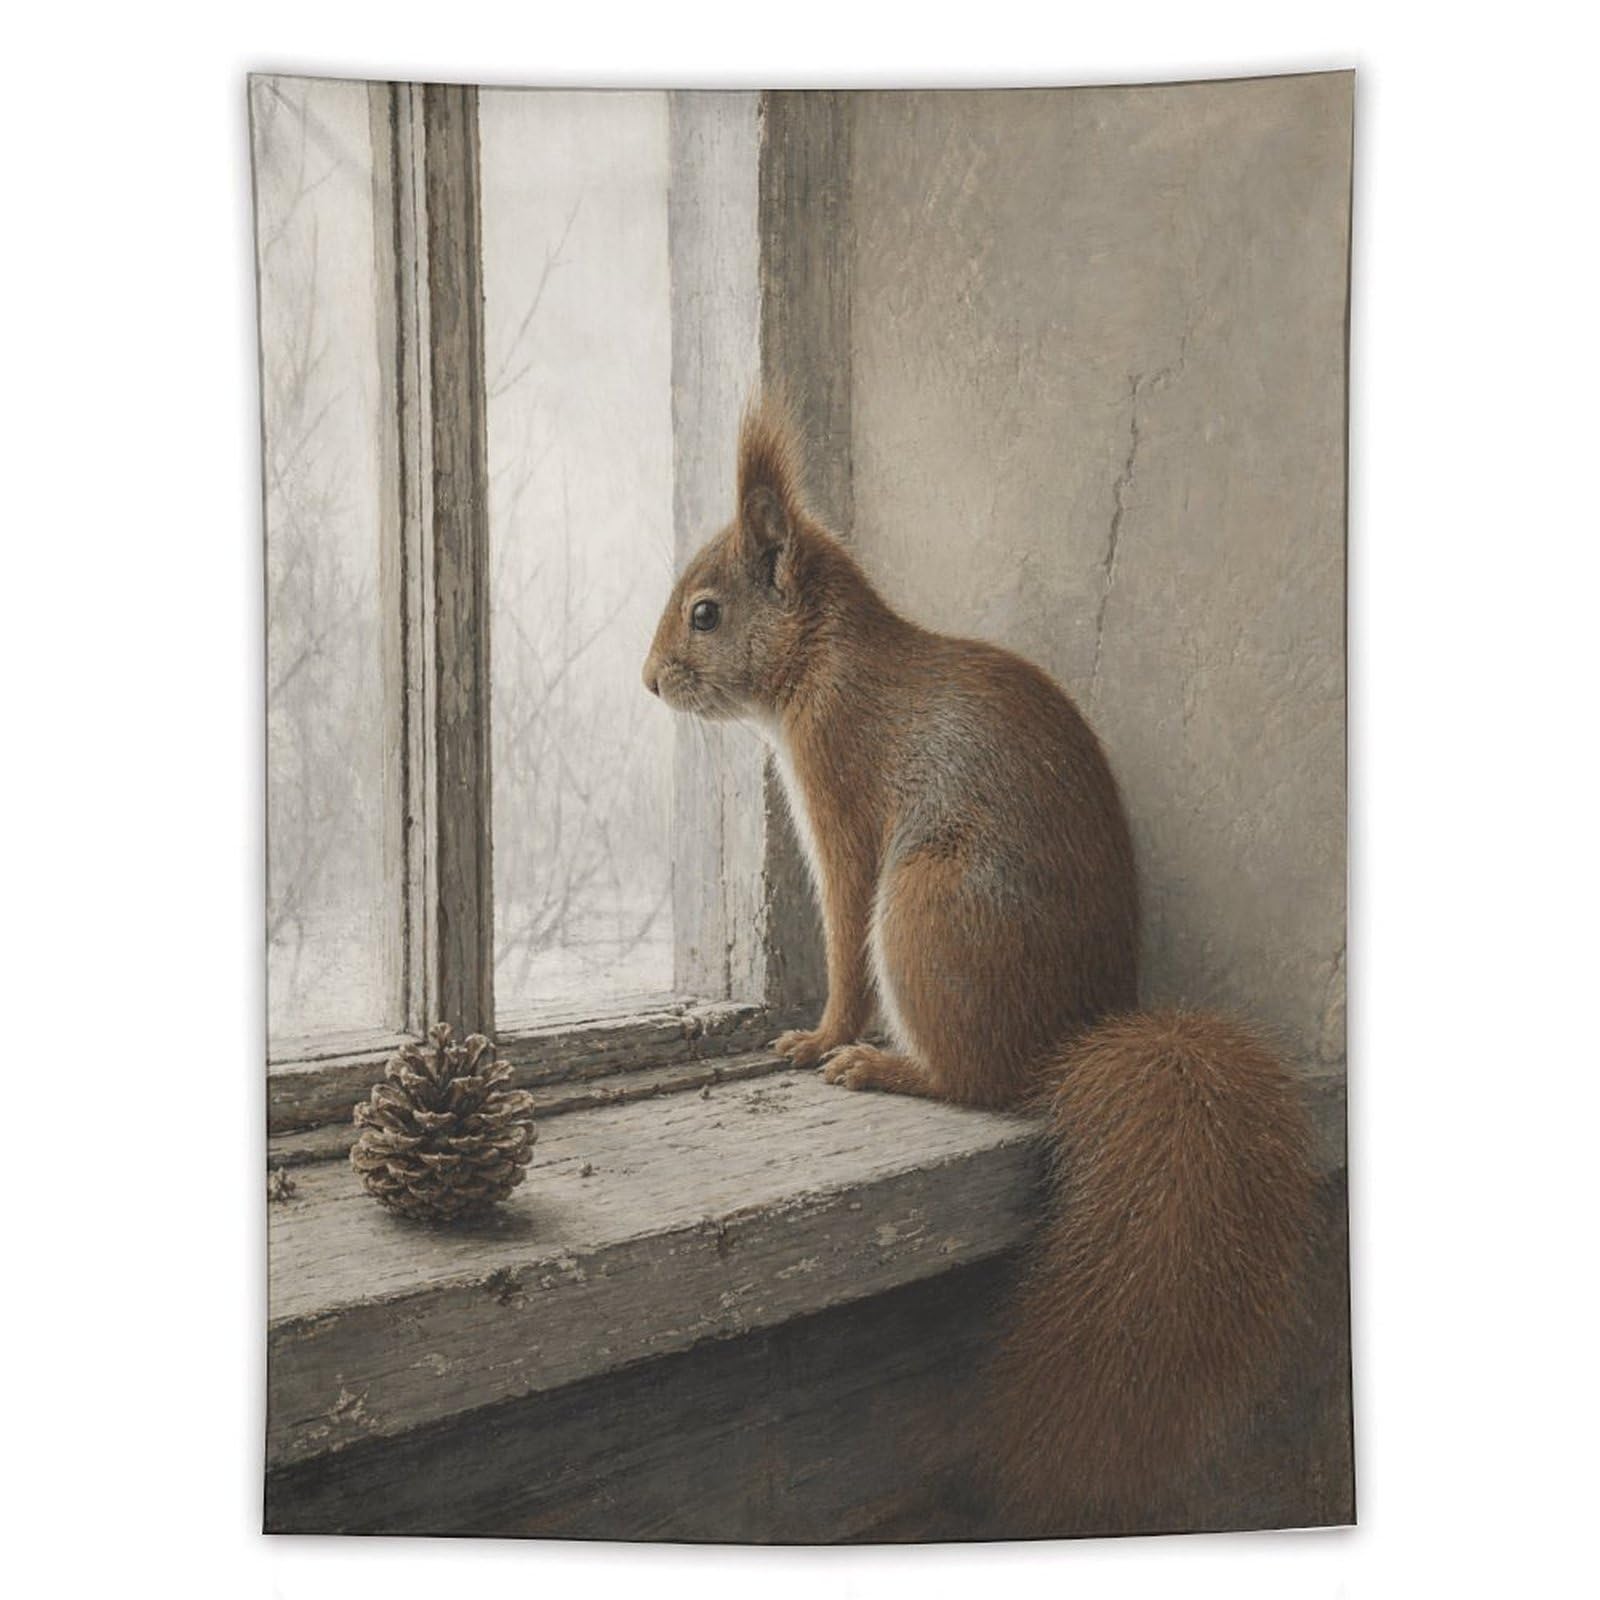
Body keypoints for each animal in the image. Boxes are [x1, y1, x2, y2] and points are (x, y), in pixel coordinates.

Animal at [642, 397, 1317, 1531]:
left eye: (704, 613)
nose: (649, 682)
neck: (825, 658)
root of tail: (1075, 1037)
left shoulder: (841, 795)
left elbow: (839, 936)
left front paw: (819, 1034)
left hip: (925, 909)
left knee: (980, 1083)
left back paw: (884, 1065)